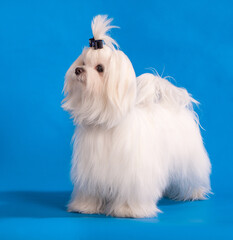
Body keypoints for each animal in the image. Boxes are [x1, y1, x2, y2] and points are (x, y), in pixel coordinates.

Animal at [62, 14, 211, 218]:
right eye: (82, 63)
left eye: (100, 68)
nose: (77, 70)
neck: (106, 123)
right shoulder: (91, 170)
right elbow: (91, 190)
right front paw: (86, 206)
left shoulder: (133, 174)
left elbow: (131, 192)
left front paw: (127, 210)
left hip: (190, 160)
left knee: (192, 176)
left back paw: (194, 193)